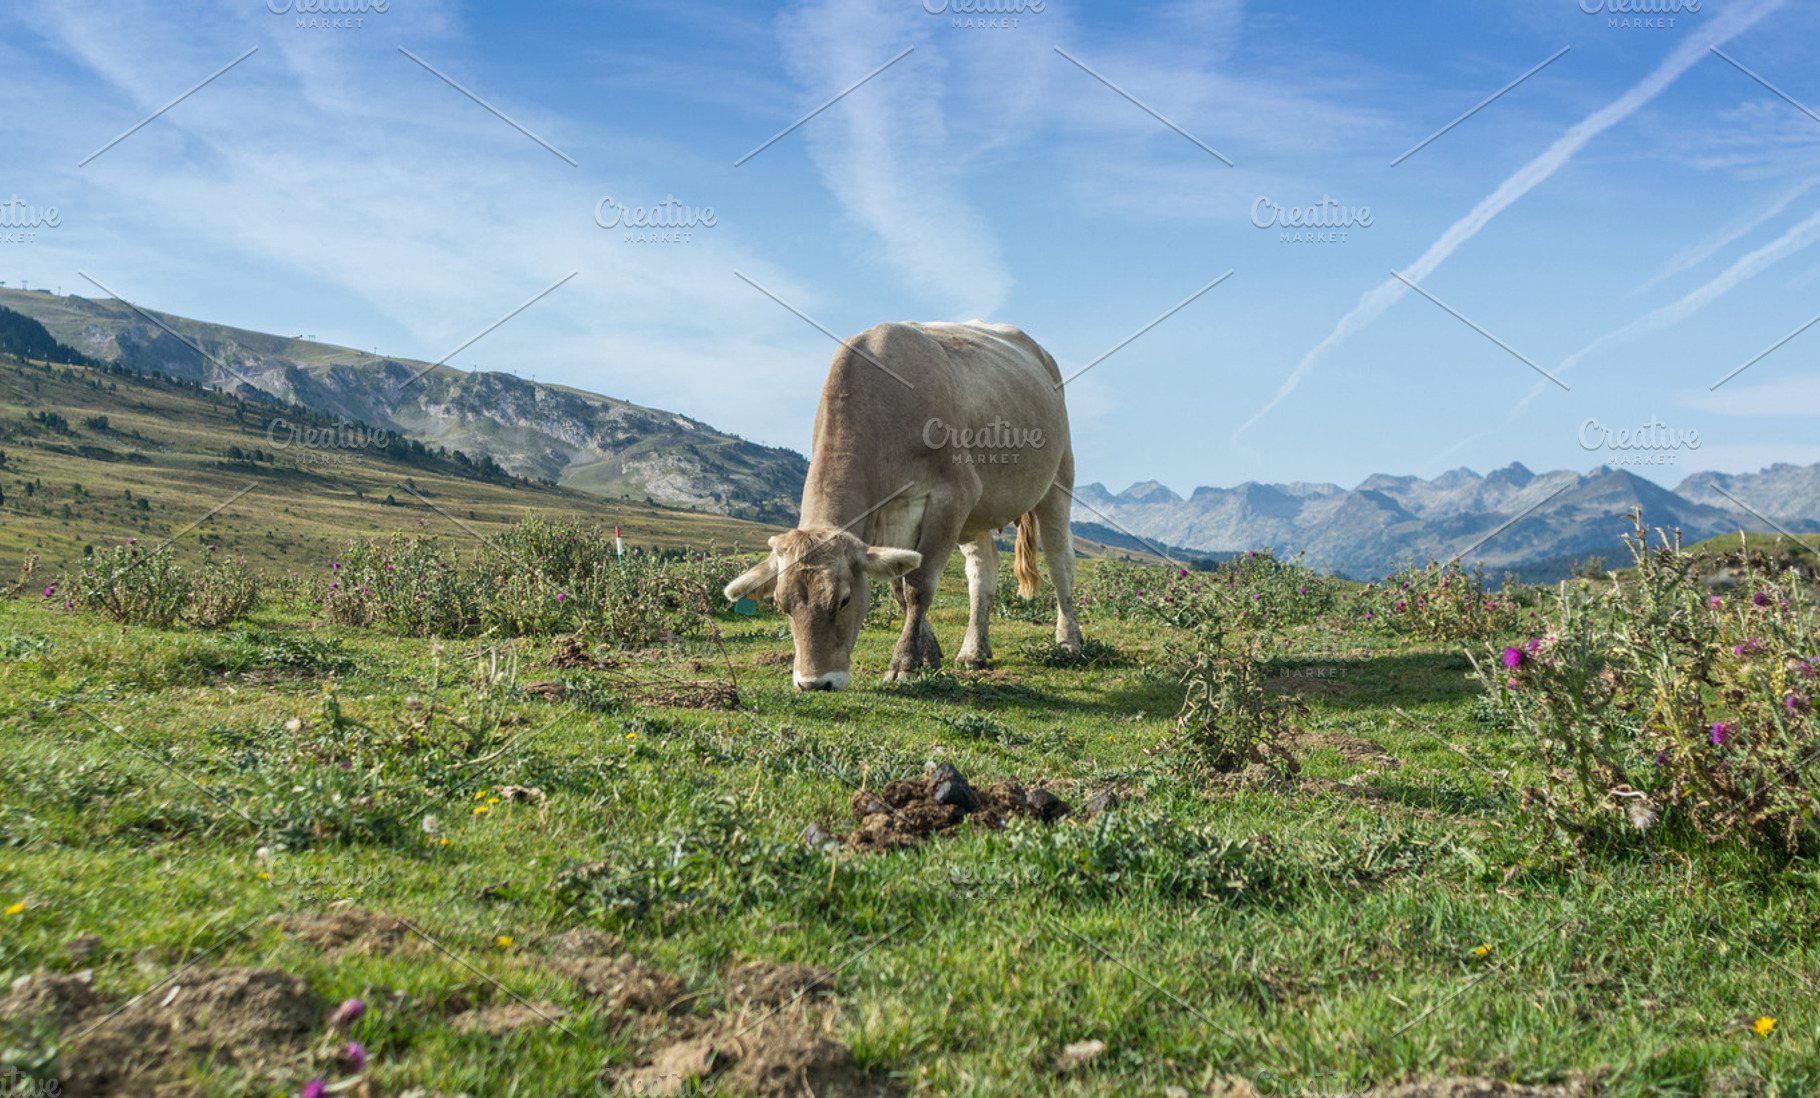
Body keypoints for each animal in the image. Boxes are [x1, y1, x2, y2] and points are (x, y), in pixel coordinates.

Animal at [724, 320, 1082, 690]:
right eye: (782, 604)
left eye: (844, 599)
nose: (815, 682)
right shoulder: (887, 522)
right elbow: (900, 587)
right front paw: (929, 653)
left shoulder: (952, 497)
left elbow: (919, 586)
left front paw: (906, 662)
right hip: (978, 513)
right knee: (982, 570)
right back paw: (974, 651)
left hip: (1058, 480)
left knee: (1060, 561)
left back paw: (1069, 640)